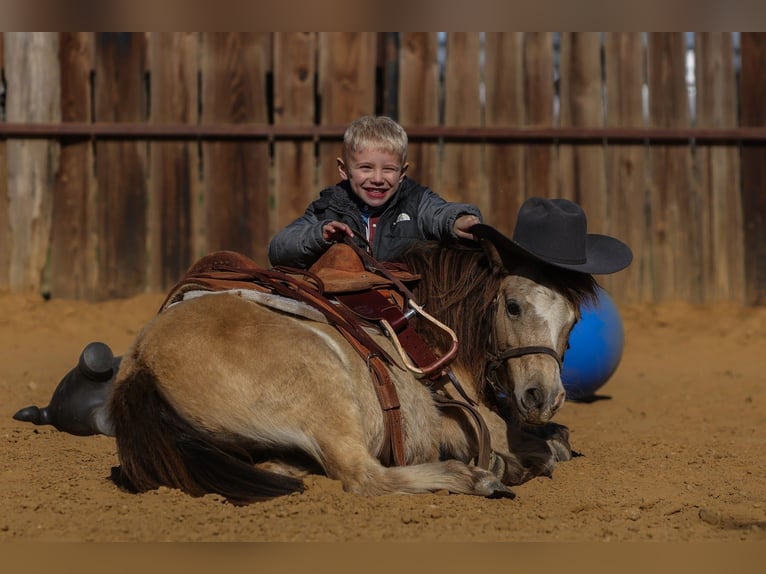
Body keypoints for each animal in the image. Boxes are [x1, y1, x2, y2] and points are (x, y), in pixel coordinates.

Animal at [108, 238, 598, 504]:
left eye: (574, 320)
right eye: (513, 305)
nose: (544, 397)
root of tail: (141, 363)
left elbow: (556, 437)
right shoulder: (465, 422)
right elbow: (538, 444)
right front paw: (521, 458)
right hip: (324, 386)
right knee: (363, 476)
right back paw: (475, 478)